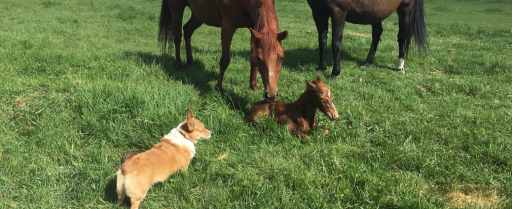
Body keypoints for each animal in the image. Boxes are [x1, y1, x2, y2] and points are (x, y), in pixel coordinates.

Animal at [159, 0, 288, 101]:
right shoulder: (227, 25)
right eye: (261, 58)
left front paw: (253, 86)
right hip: (177, 8)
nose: (271, 95)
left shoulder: (253, 27)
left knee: (187, 30)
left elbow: (252, 57)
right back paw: (179, 65)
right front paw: (218, 87)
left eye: (281, 57)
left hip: (199, 14)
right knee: (177, 37)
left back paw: (190, 62)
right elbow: (225, 60)